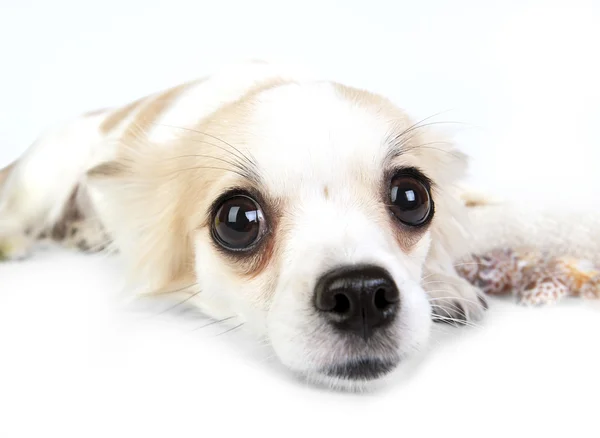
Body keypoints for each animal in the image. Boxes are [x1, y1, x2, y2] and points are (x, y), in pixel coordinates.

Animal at [0, 60, 592, 390]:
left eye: (412, 196)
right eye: (237, 220)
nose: (361, 293)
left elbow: (524, 217)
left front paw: (445, 281)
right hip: (47, 174)